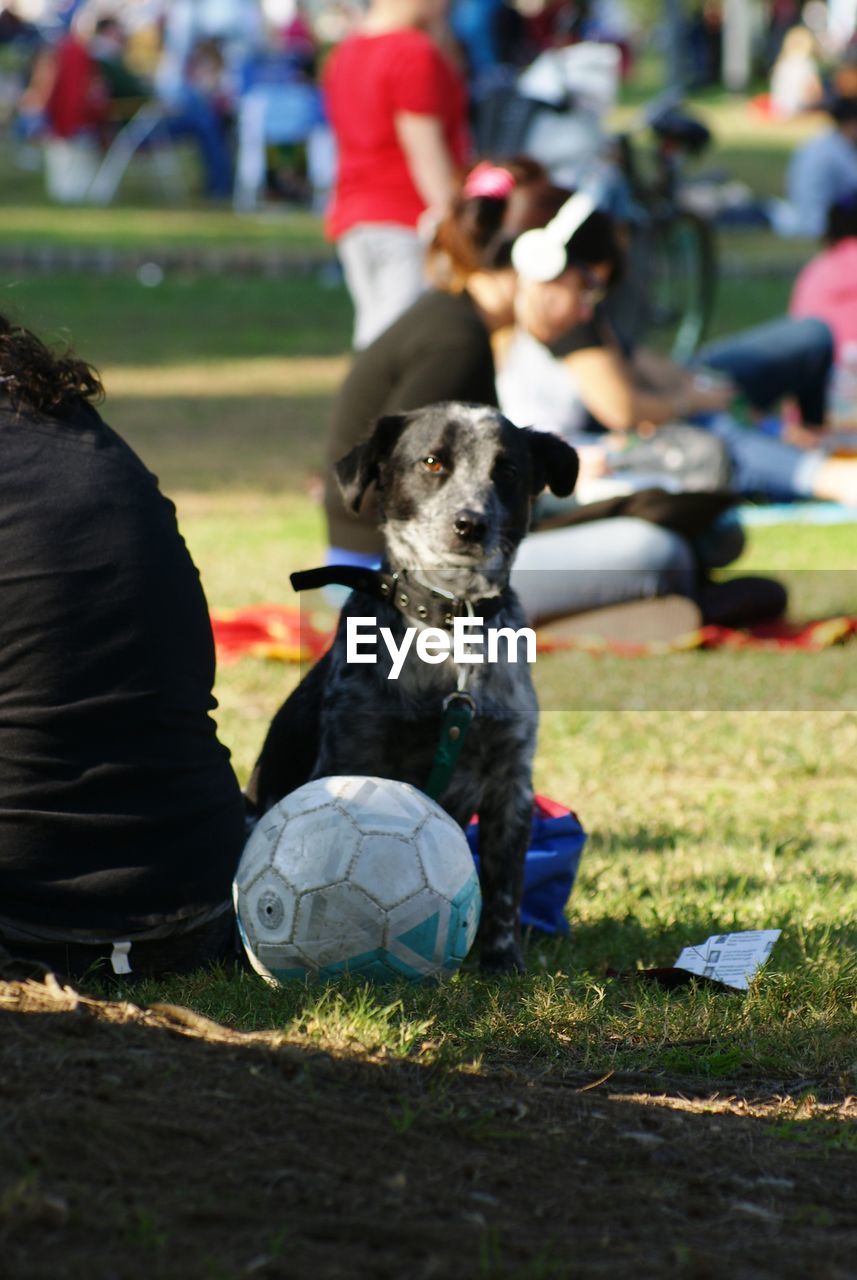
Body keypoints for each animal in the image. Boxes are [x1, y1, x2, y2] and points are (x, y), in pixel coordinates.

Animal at [246, 404, 578, 972]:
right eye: (432, 462)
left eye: (507, 470)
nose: (470, 524)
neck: (451, 626)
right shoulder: (348, 755)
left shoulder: (511, 782)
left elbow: (505, 887)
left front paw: (503, 961)